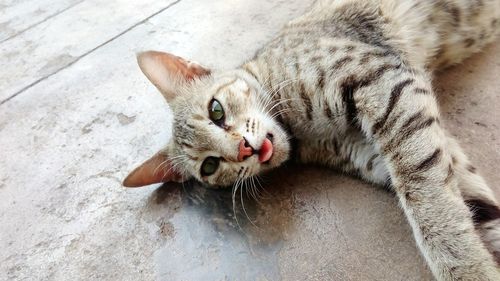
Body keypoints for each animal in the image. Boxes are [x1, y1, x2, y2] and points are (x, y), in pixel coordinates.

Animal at [122, 1, 500, 278]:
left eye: (216, 110)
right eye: (210, 166)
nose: (244, 149)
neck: (301, 133)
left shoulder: (384, 83)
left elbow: (430, 204)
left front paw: (469, 270)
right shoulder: (379, 153)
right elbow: (471, 203)